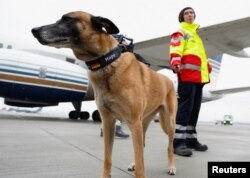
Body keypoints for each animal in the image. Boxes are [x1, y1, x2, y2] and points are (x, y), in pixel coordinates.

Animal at [32, 11, 178, 178]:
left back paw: (171, 167)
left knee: (169, 147)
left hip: (168, 123)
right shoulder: (109, 122)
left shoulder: (133, 122)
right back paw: (134, 164)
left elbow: (141, 165)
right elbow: (108, 158)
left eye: (67, 19)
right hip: (144, 122)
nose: (34, 30)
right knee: (143, 145)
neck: (105, 62)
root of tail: (169, 80)